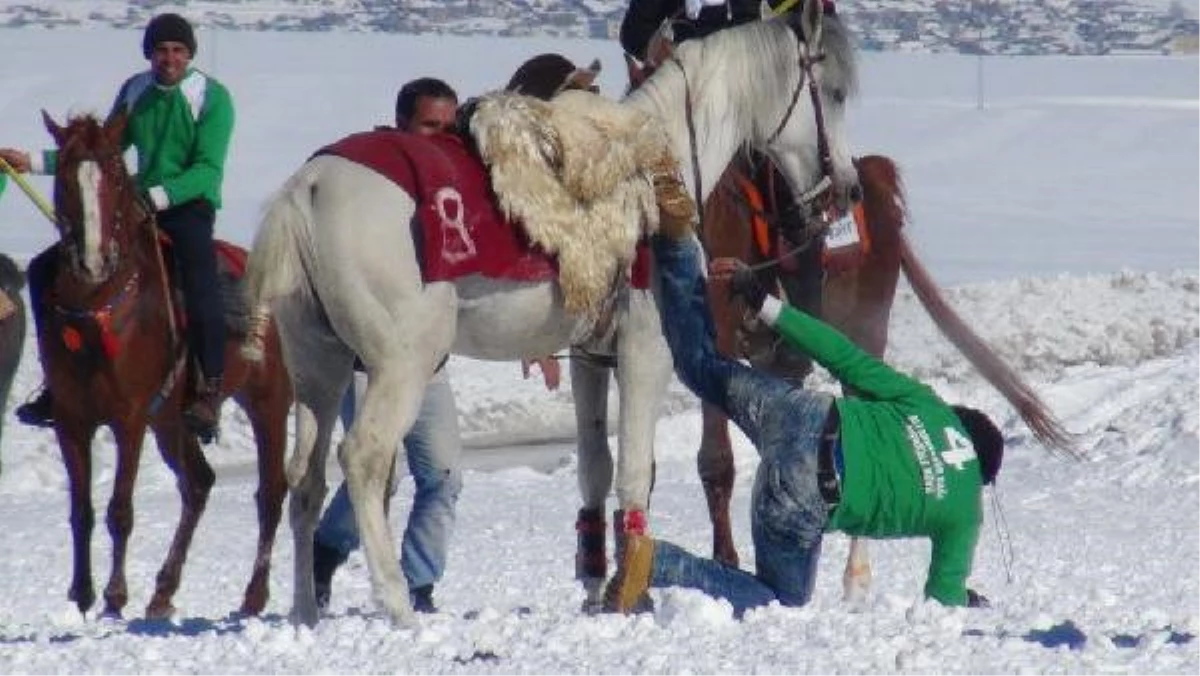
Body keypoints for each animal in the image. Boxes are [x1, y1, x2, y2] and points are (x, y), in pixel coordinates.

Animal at [39, 112, 292, 619]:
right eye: (64, 177)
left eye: (117, 175)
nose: (93, 260)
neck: (96, 311)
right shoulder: (71, 420)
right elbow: (81, 511)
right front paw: (81, 592)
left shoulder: (130, 417)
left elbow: (119, 509)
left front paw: (114, 597)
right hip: (172, 420)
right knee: (198, 483)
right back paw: (163, 591)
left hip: (268, 401)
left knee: (271, 493)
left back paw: (253, 596)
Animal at [246, 0, 864, 629]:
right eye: (835, 92)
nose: (847, 188)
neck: (656, 161)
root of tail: (310, 186)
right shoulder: (646, 353)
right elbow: (634, 472)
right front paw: (630, 591)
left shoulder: (590, 358)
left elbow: (596, 467)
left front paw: (594, 586)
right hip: (401, 364)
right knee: (365, 461)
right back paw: (397, 604)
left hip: (319, 366)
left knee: (304, 479)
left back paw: (304, 610)